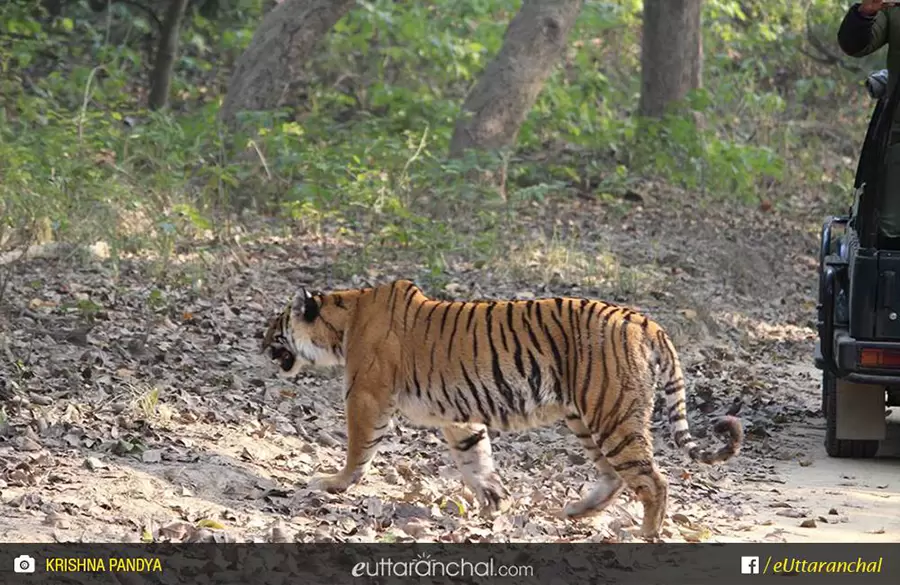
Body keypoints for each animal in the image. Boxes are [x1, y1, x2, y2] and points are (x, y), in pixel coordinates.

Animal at [262, 278, 744, 540]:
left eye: (274, 324)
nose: (257, 339)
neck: (343, 322)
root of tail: (646, 321)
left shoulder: (366, 396)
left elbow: (357, 450)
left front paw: (333, 483)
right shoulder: (459, 416)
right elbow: (476, 460)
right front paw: (494, 506)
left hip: (611, 414)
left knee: (653, 480)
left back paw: (646, 534)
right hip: (587, 417)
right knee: (614, 475)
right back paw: (575, 513)